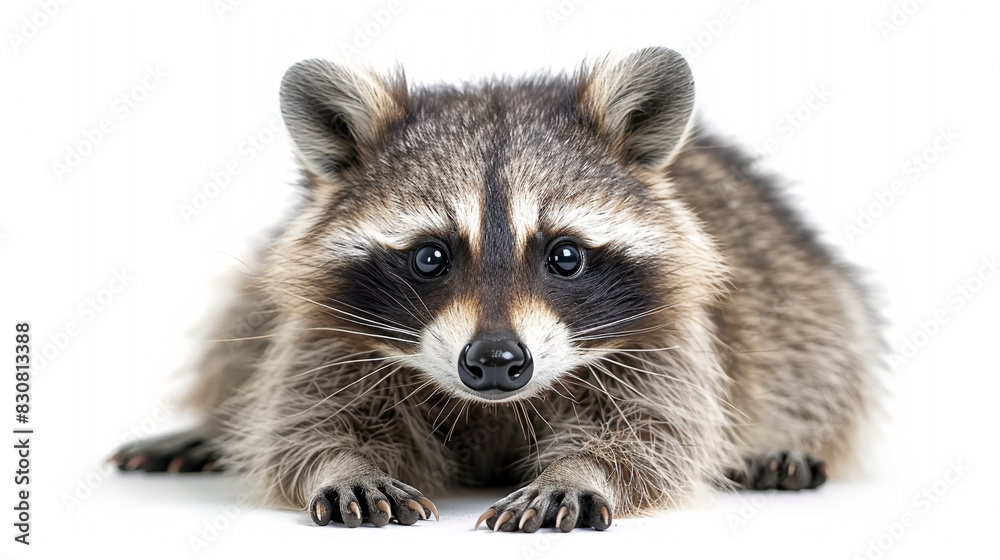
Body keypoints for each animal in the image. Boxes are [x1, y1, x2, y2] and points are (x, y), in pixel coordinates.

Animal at [112, 47, 880, 532]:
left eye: (565, 256)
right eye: (430, 257)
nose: (496, 361)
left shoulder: (666, 337)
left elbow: (655, 430)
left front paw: (584, 471)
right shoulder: (325, 329)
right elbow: (303, 421)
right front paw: (341, 461)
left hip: (802, 289)